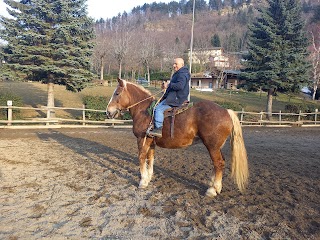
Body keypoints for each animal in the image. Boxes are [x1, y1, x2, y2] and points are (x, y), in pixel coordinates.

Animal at [106, 79, 249, 197]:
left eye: (117, 93)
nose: (108, 111)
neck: (144, 110)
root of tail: (227, 111)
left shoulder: (142, 139)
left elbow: (141, 158)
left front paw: (143, 181)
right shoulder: (151, 141)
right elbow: (150, 158)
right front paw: (149, 177)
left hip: (212, 146)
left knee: (218, 163)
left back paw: (213, 190)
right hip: (216, 147)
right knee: (219, 163)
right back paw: (213, 185)